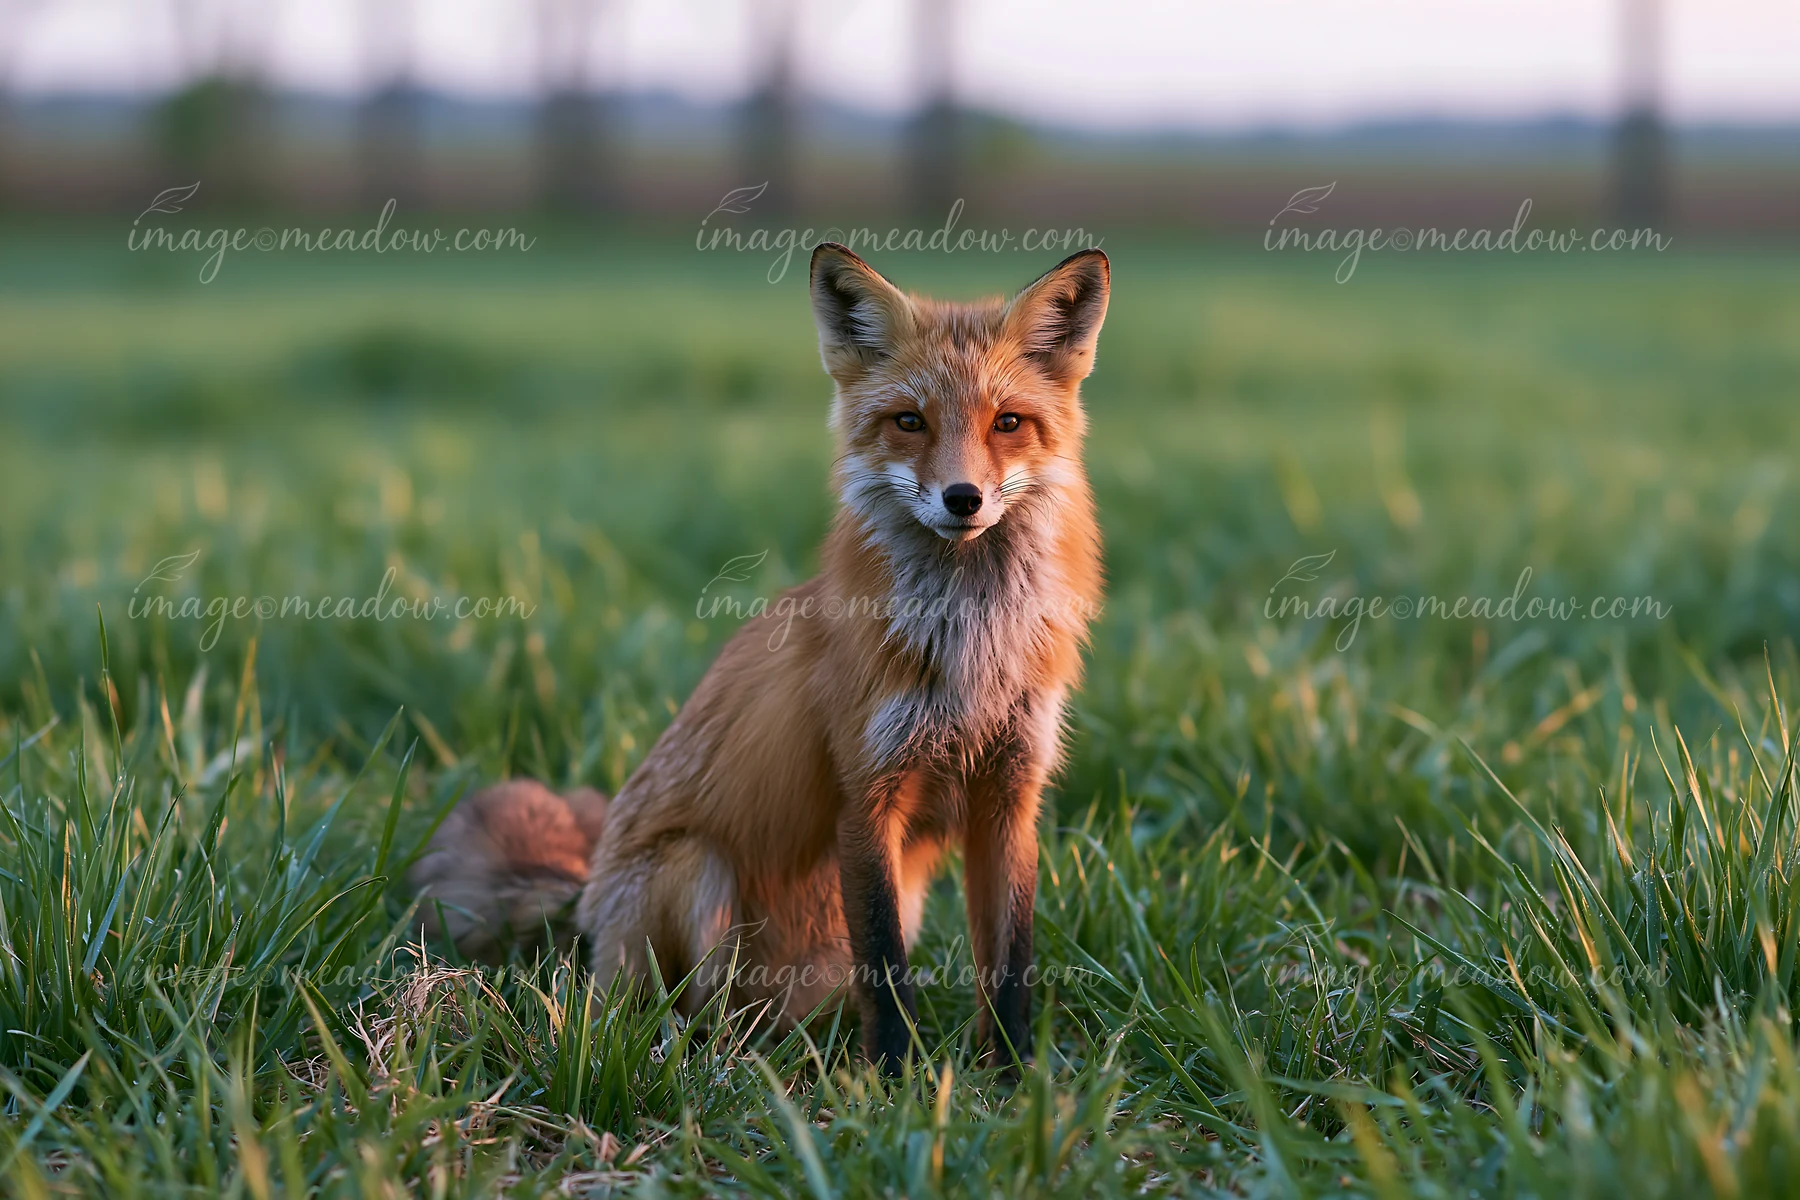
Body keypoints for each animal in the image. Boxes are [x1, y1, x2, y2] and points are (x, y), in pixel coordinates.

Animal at [412, 242, 1109, 1068]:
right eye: (909, 421)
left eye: (1008, 423)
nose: (963, 498)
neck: (972, 649)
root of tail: (587, 905)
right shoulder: (865, 793)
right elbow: (885, 968)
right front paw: (894, 1078)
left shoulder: (1011, 793)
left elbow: (1011, 961)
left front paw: (1012, 1076)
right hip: (696, 873)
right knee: (677, 1011)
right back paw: (712, 1057)